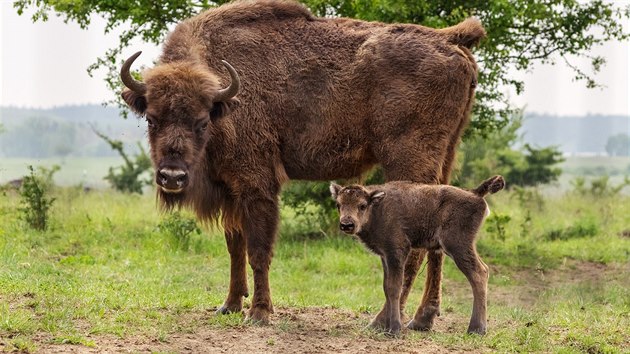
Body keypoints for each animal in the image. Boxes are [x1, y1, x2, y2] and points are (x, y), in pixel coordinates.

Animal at [122, 0, 488, 326]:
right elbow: (234, 247)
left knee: (413, 249)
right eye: (152, 119)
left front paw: (259, 313)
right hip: (445, 159)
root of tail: (449, 38)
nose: (171, 176)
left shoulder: (257, 185)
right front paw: (229, 305)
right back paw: (422, 319)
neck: (224, 100)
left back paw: (385, 320)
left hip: (410, 163)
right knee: (436, 242)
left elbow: (258, 250)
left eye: (201, 122)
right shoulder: (231, 189)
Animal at [334, 177, 506, 334]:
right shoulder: (385, 256)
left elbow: (395, 288)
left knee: (479, 273)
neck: (377, 208)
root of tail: (475, 193)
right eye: (338, 204)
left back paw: (476, 329)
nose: (347, 224)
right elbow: (386, 288)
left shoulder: (397, 251)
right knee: (483, 270)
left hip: (458, 246)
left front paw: (394, 329)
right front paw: (386, 326)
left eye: (362, 205)